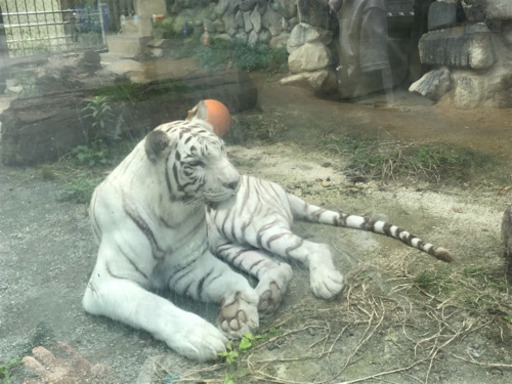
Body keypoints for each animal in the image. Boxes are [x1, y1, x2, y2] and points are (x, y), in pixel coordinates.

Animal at [84, 116, 260, 360]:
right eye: (196, 163)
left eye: (223, 150)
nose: (235, 182)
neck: (171, 218)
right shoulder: (107, 282)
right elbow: (151, 304)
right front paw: (202, 337)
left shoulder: (187, 267)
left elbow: (230, 277)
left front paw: (241, 312)